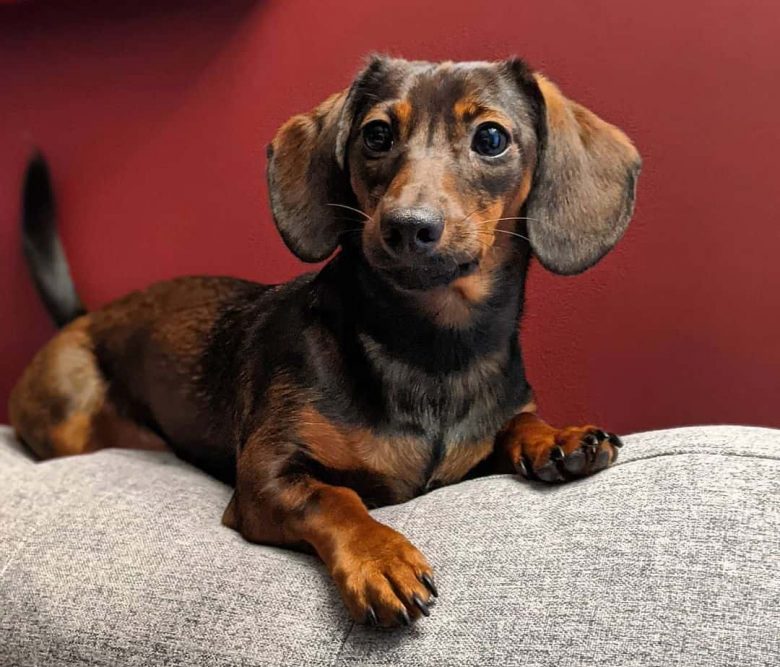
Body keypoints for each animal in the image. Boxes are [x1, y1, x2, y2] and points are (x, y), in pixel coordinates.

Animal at [10, 56, 640, 628]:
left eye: (491, 137)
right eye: (377, 134)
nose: (407, 226)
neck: (433, 350)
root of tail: (85, 317)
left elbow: (517, 421)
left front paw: (559, 437)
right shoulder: (266, 477)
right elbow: (337, 497)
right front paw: (383, 558)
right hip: (70, 416)